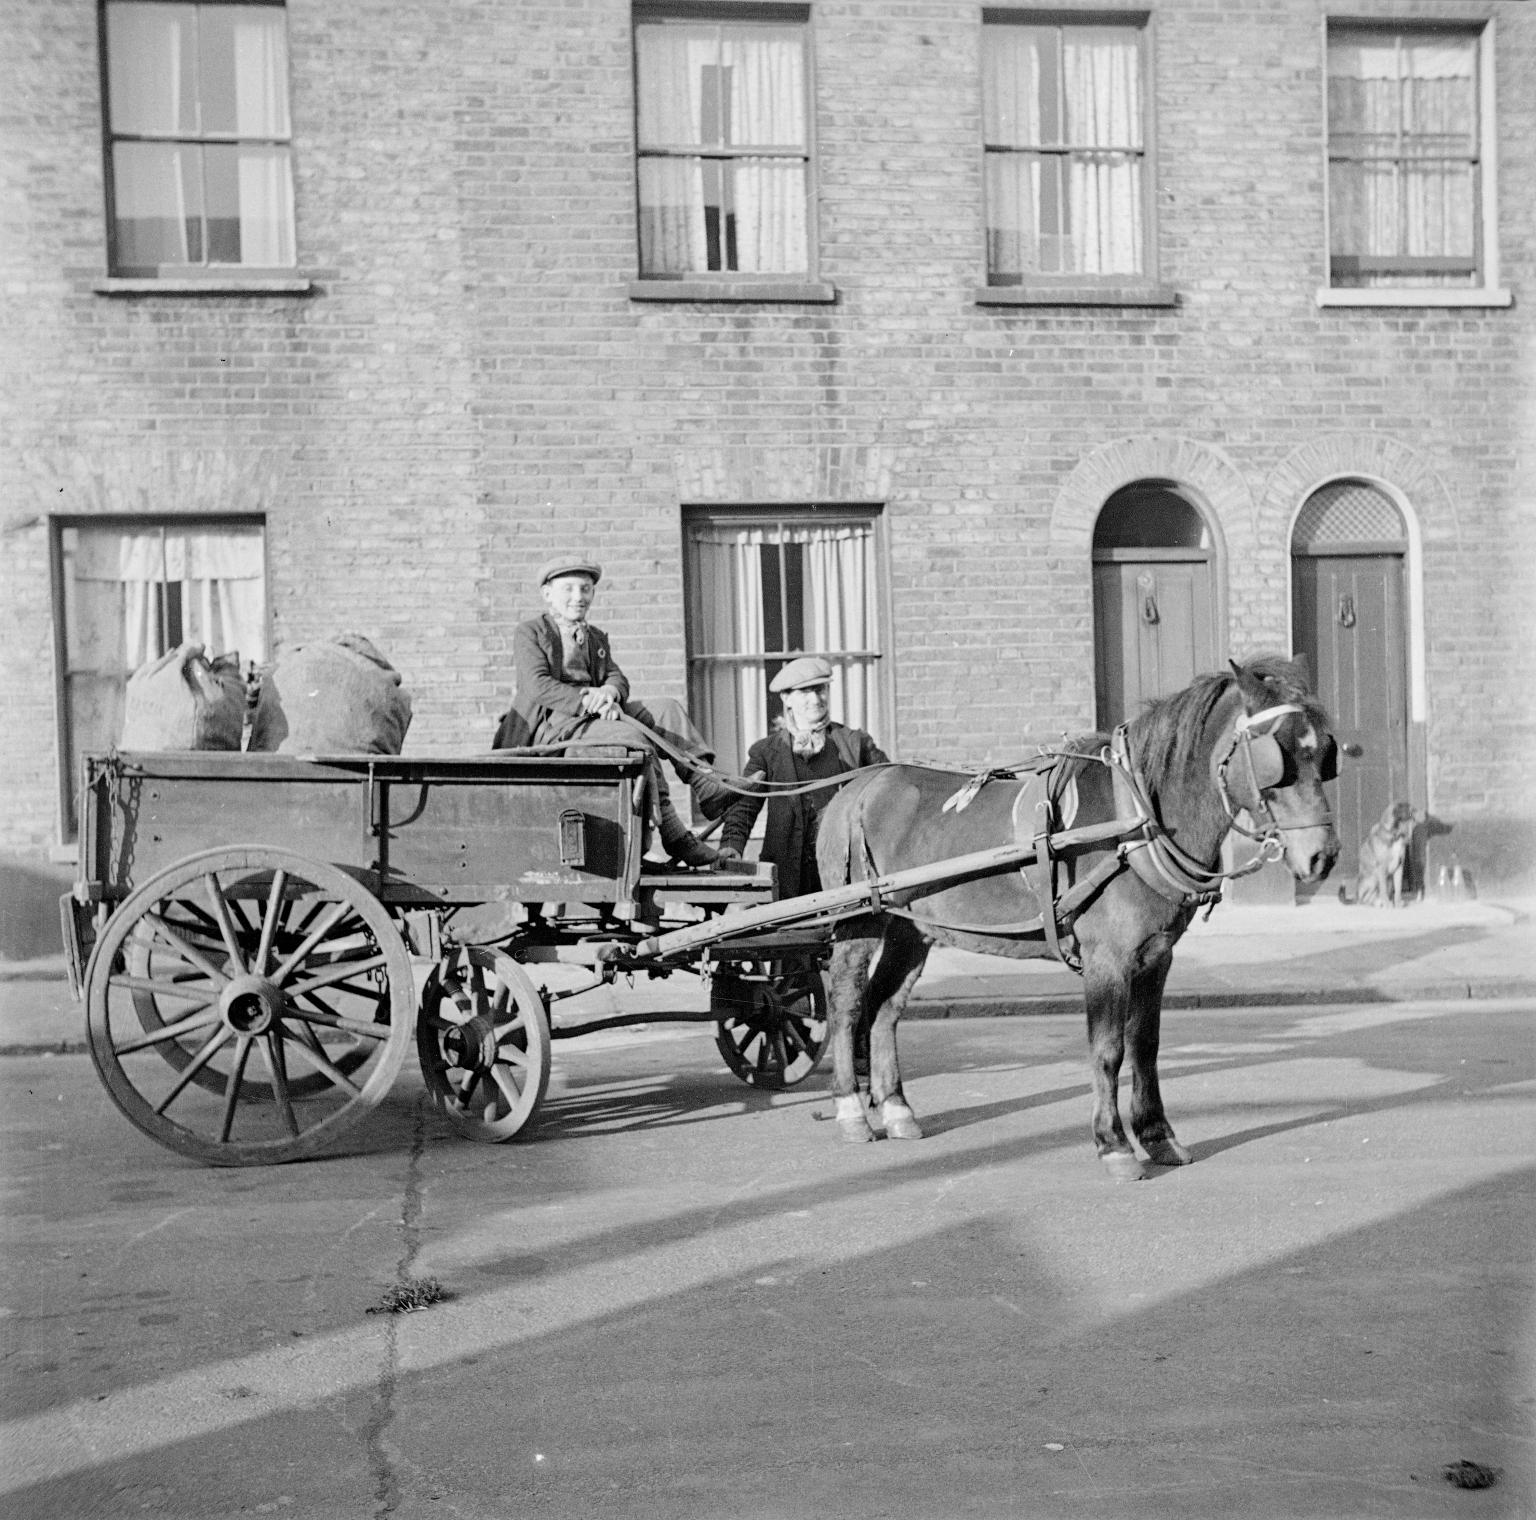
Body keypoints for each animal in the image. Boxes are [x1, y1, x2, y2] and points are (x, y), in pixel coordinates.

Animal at [823, 654, 1339, 1179]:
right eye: (1276, 758)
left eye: (1324, 755)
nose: (1324, 856)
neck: (1136, 824)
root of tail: (859, 785)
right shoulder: (1106, 960)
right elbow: (1108, 1050)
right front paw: (1114, 1144)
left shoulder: (1156, 958)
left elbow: (1146, 1045)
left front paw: (1157, 1136)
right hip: (859, 922)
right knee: (847, 1006)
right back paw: (851, 1110)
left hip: (912, 928)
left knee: (885, 1008)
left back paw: (895, 1108)